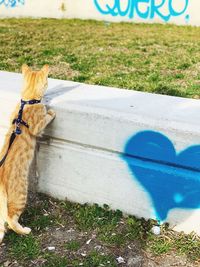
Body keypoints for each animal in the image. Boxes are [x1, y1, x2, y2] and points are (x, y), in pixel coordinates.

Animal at [0, 64, 55, 243]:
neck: (27, 101)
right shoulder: (38, 126)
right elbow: (46, 118)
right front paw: (51, 112)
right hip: (21, 196)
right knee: (10, 219)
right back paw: (24, 230)